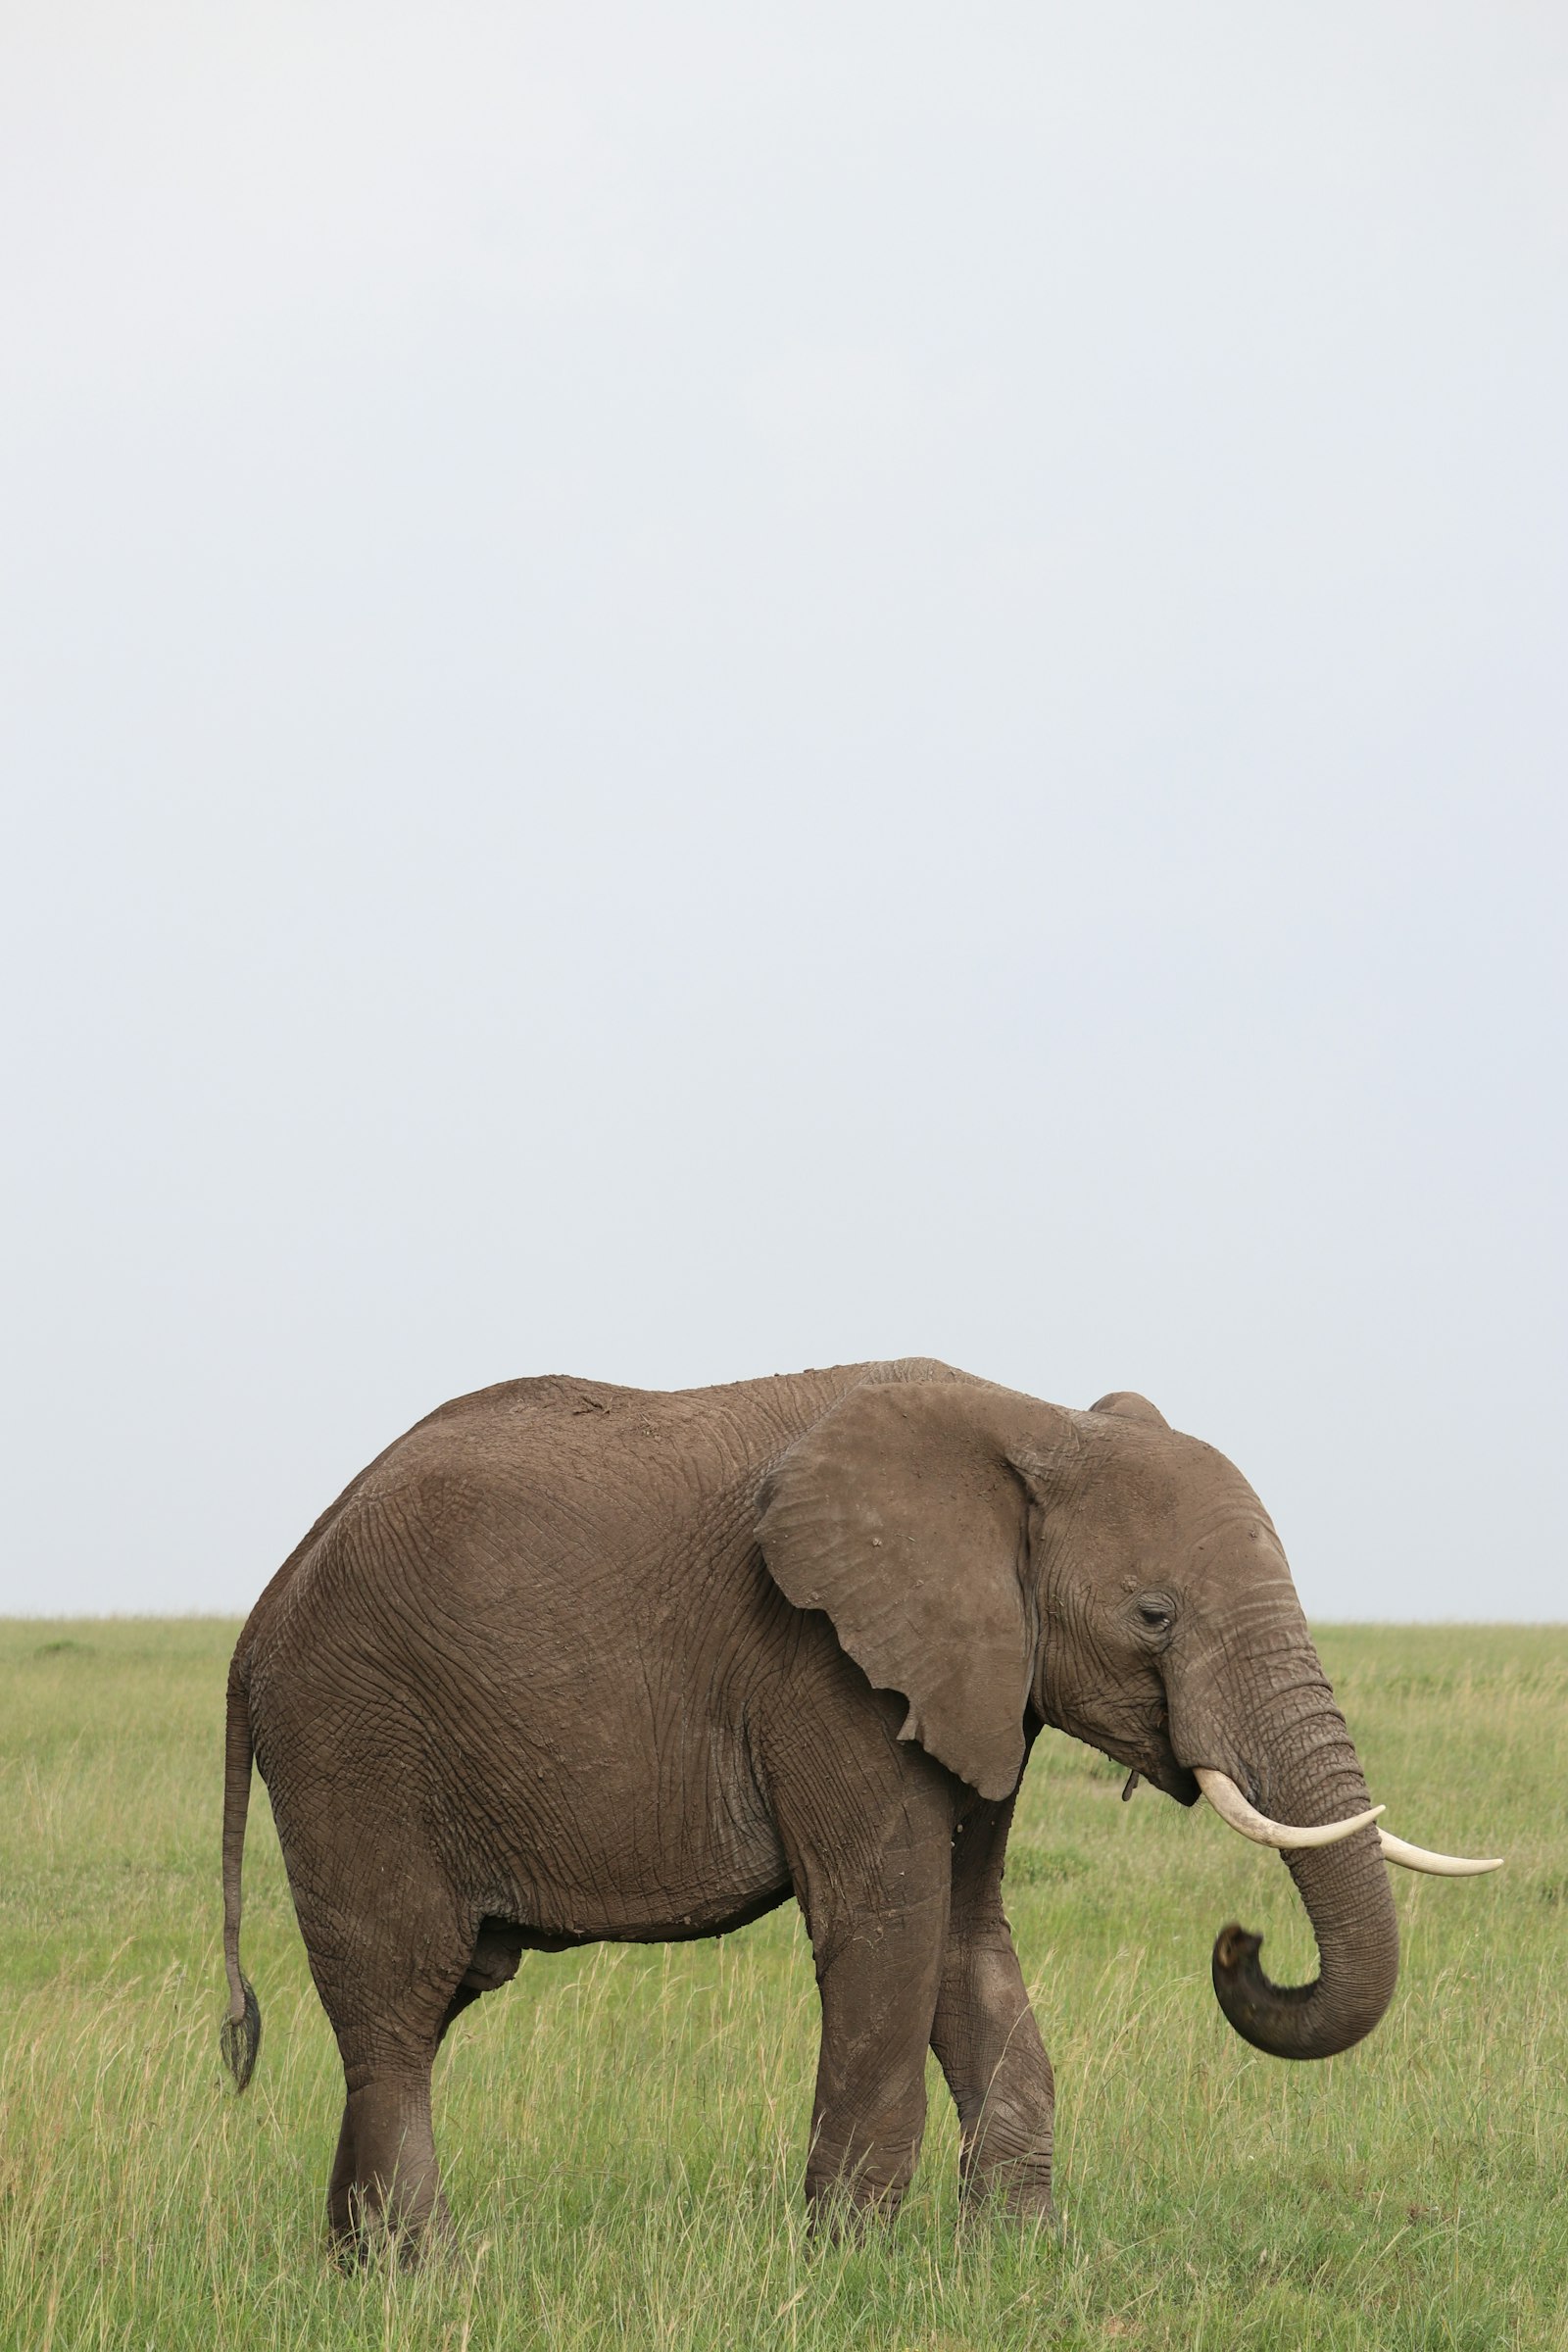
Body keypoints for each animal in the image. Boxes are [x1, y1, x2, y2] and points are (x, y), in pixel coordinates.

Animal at [219, 1358, 1498, 2259]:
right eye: (1153, 1616)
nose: (1241, 1943)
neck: (1029, 1424)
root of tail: (261, 1611)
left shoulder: (976, 1679)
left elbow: (968, 1938)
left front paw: (1017, 2263)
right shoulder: (823, 1668)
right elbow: (888, 1926)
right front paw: (849, 2270)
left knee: (418, 2013)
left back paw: (355, 2270)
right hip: (352, 1743)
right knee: (399, 2001)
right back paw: (424, 2277)